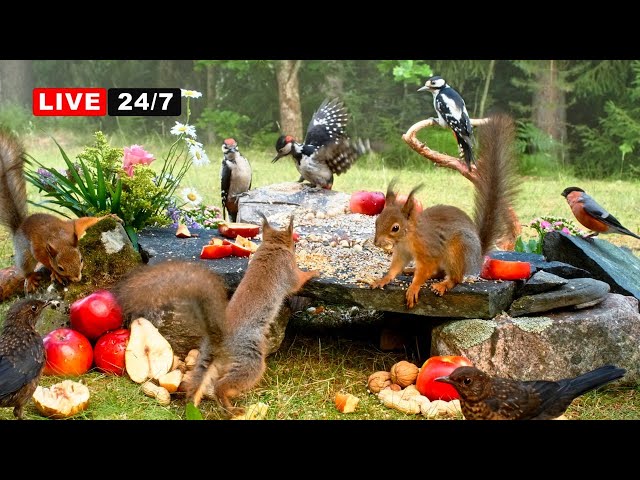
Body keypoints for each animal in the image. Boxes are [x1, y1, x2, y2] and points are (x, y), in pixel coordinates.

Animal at [0, 128, 114, 293]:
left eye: (81, 259)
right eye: (60, 267)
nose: (77, 278)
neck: (59, 239)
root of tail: (19, 226)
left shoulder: (71, 227)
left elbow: (83, 221)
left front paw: (107, 216)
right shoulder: (39, 249)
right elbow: (45, 261)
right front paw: (55, 274)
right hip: (24, 254)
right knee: (25, 267)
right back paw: (30, 278)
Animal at [112, 214, 319, 417]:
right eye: (294, 244)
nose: (296, 246)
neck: (272, 246)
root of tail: (217, 337)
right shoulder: (288, 269)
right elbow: (298, 281)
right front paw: (314, 271)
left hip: (205, 358)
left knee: (199, 385)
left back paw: (195, 405)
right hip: (248, 360)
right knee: (222, 385)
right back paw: (231, 408)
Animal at [370, 112, 519, 308]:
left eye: (395, 228)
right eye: (377, 221)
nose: (376, 242)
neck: (408, 238)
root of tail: (477, 255)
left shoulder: (429, 252)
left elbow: (425, 271)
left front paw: (414, 288)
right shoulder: (401, 253)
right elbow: (395, 268)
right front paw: (383, 280)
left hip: (457, 251)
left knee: (454, 277)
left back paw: (443, 285)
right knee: (439, 272)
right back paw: (411, 270)